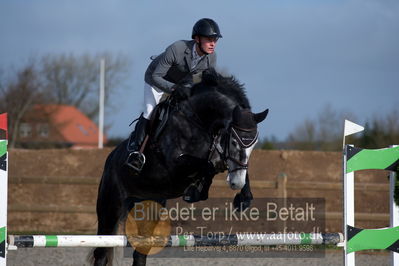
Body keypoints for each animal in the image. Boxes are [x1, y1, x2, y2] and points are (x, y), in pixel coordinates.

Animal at [92, 69, 268, 264]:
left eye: (254, 144)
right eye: (234, 142)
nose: (236, 183)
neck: (199, 120)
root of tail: (110, 158)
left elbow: (217, 166)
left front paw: (243, 198)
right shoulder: (176, 165)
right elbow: (207, 165)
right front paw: (196, 191)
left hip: (151, 205)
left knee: (140, 252)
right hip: (111, 206)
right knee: (101, 251)